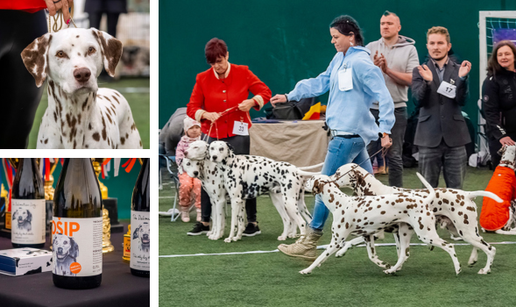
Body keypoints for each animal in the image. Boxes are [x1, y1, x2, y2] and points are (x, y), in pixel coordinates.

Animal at [184, 141, 314, 242]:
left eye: (196, 147)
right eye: (212, 148)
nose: (185, 152)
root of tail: (296, 169)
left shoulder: (228, 201)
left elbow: (229, 223)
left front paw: (224, 237)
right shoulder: (223, 201)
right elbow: (233, 222)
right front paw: (235, 237)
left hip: (289, 203)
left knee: (301, 222)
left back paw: (298, 240)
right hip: (290, 204)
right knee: (293, 220)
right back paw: (289, 237)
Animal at [300, 173, 462, 276]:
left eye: (311, 179)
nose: (304, 179)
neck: (340, 203)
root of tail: (423, 200)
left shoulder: (337, 241)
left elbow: (321, 256)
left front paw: (307, 270)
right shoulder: (368, 237)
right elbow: (372, 257)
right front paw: (385, 265)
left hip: (426, 235)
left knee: (449, 246)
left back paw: (458, 269)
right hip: (404, 234)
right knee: (403, 255)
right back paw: (391, 270)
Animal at [330, 165, 504, 276]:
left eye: (338, 173)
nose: (329, 179)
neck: (376, 192)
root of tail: (468, 194)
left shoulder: (377, 232)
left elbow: (351, 242)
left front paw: (340, 251)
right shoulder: (397, 234)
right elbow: (400, 253)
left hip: (465, 231)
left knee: (490, 249)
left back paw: (485, 270)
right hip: (462, 231)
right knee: (478, 245)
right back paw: (472, 260)